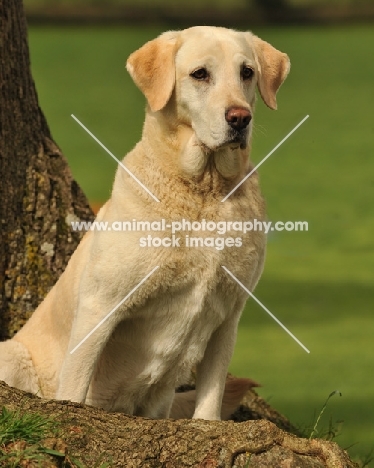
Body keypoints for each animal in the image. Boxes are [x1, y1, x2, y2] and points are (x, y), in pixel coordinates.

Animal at [0, 26, 290, 420]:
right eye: (200, 74)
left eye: (247, 72)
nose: (239, 118)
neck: (204, 191)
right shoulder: (100, 305)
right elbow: (74, 384)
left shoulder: (229, 313)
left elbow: (211, 395)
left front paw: (206, 424)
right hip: (12, 355)